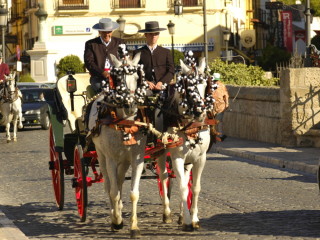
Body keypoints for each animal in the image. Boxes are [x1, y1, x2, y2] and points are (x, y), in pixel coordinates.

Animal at [89, 51, 149, 238]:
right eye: (117, 79)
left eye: (137, 77)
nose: (130, 105)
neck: (125, 122)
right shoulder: (111, 159)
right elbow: (113, 192)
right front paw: (116, 221)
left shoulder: (136, 158)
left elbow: (133, 194)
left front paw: (134, 226)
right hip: (101, 156)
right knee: (109, 185)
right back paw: (114, 215)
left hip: (124, 161)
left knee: (120, 180)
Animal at [157, 54, 216, 231]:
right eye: (188, 86)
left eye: (205, 84)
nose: (200, 112)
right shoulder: (177, 157)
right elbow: (182, 187)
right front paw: (188, 221)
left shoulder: (200, 158)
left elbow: (194, 188)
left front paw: (194, 218)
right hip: (161, 153)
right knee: (164, 177)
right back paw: (167, 213)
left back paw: (181, 215)